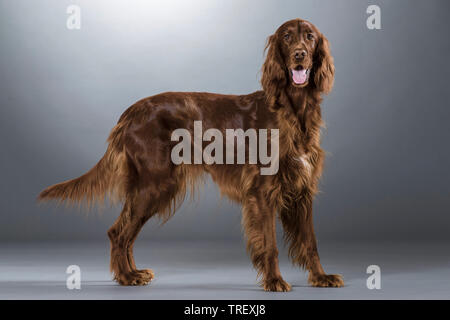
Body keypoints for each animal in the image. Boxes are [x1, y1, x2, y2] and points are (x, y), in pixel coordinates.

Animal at [39, 18, 344, 292]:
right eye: (287, 37)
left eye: (310, 37)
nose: (299, 55)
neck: (294, 111)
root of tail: (131, 112)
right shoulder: (263, 191)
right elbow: (270, 244)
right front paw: (274, 281)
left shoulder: (302, 189)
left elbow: (310, 242)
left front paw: (321, 277)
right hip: (156, 183)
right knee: (119, 232)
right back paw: (127, 277)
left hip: (154, 186)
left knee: (126, 232)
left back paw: (133, 273)